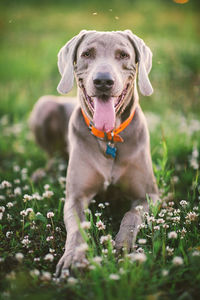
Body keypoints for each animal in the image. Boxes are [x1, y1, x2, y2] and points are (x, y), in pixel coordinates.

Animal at [29, 29, 159, 276]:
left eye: (123, 55)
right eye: (87, 53)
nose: (103, 81)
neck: (109, 138)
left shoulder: (150, 195)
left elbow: (132, 215)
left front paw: (123, 245)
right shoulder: (75, 197)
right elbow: (78, 227)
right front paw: (73, 257)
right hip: (43, 105)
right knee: (51, 158)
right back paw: (41, 173)